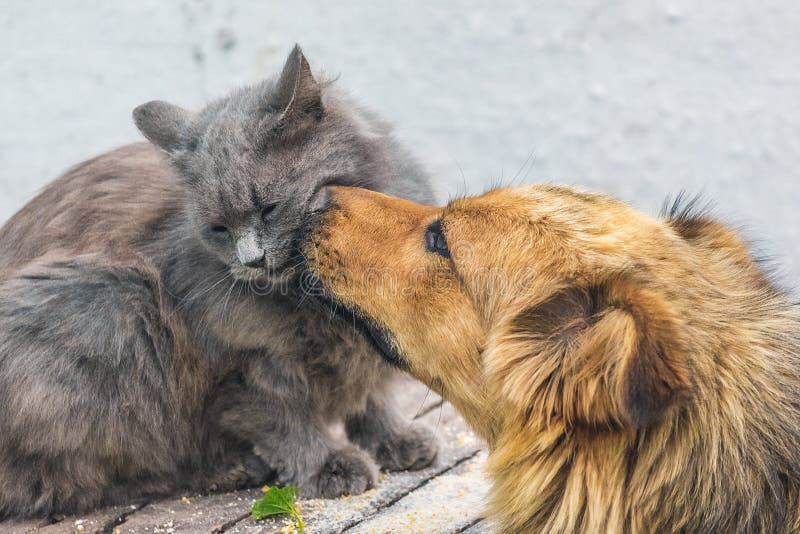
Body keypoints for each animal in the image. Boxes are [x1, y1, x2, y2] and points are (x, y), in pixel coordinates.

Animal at [0, 45, 438, 520]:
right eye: (218, 229)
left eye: (269, 208)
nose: (251, 260)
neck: (314, 290)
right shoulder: (243, 366)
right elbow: (288, 422)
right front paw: (329, 466)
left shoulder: (366, 345)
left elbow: (371, 398)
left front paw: (396, 439)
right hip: (115, 304)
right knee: (73, 481)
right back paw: (228, 469)